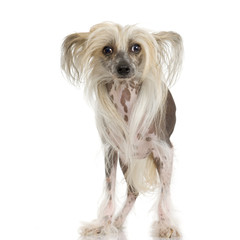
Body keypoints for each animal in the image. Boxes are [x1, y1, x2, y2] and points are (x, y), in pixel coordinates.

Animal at [61, 22, 183, 238]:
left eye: (136, 47)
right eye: (107, 50)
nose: (124, 68)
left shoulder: (164, 151)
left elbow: (164, 193)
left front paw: (166, 225)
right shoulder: (111, 151)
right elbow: (110, 191)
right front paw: (103, 224)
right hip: (127, 161)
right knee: (133, 191)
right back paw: (117, 221)